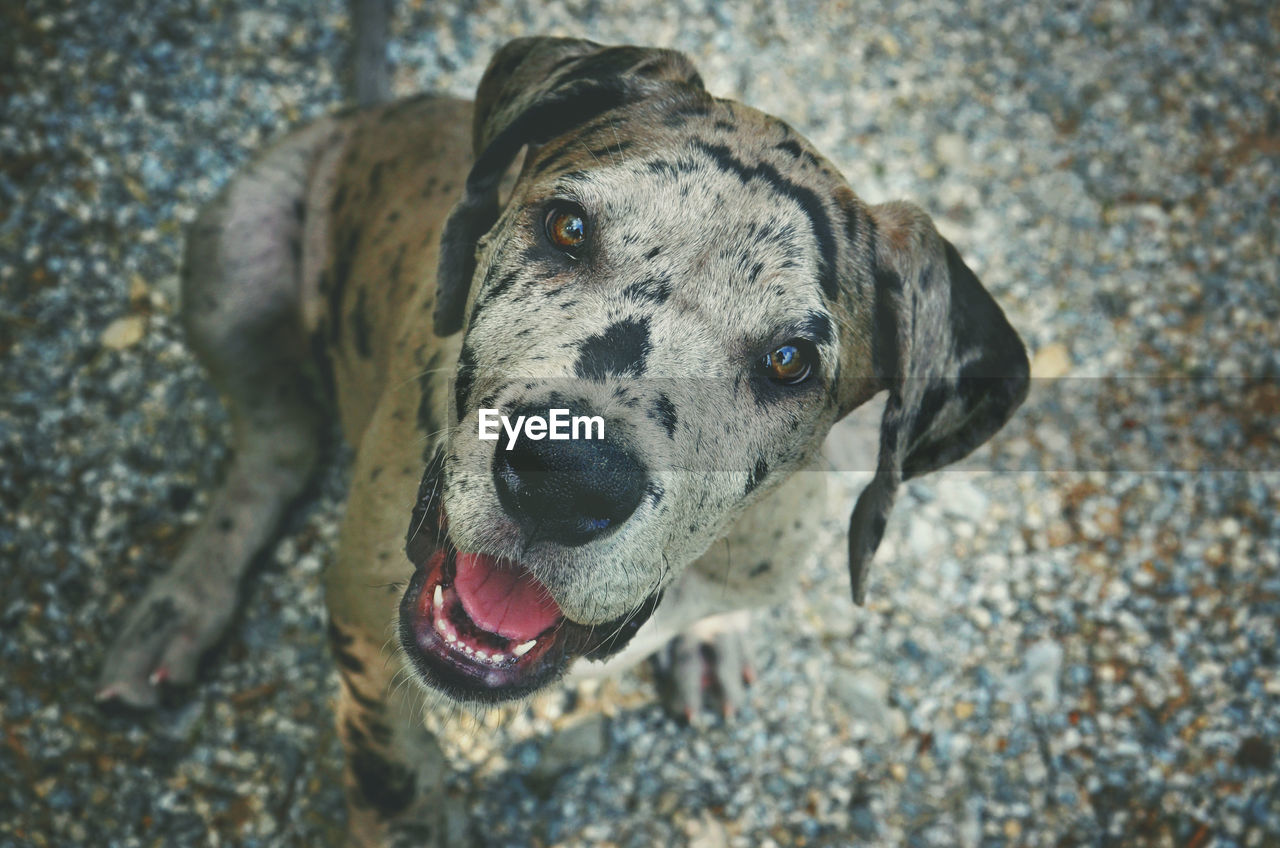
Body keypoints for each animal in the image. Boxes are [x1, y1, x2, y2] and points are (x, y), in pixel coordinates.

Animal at [94, 36, 1024, 845]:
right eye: (569, 227)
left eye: (791, 360)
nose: (565, 479)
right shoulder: (359, 610)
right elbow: (391, 761)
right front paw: (409, 820)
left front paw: (713, 636)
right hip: (232, 252)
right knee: (273, 449)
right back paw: (182, 603)